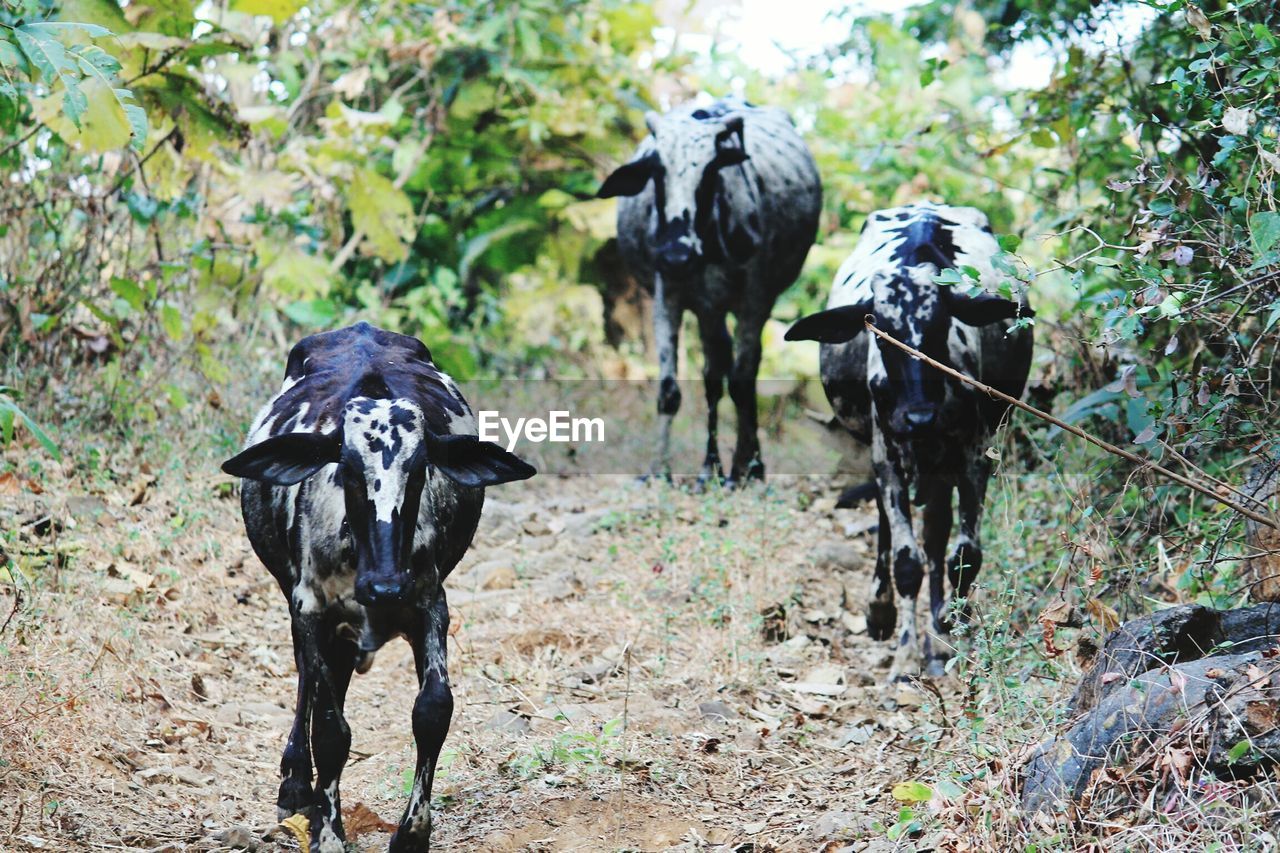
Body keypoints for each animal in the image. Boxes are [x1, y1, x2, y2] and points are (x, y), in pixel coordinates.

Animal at [222, 320, 532, 850]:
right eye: (347, 467)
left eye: (421, 468)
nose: (385, 588)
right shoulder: (311, 606)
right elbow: (329, 730)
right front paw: (328, 833)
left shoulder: (429, 603)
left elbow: (433, 711)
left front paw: (412, 833)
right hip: (296, 602)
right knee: (308, 681)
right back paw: (296, 785)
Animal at [596, 96, 819, 481]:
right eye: (656, 170)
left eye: (711, 170)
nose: (676, 253)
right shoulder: (669, 296)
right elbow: (670, 389)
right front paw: (660, 469)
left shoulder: (755, 299)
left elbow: (742, 381)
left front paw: (747, 468)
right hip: (708, 310)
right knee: (713, 374)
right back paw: (710, 466)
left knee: (743, 373)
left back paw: (744, 464)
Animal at [783, 201, 1034, 676]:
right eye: (882, 334)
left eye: (939, 328)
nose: (919, 417)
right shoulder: (889, 457)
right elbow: (905, 561)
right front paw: (904, 655)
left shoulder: (973, 459)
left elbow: (963, 556)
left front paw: (949, 639)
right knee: (889, 529)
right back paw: (880, 611)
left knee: (936, 535)